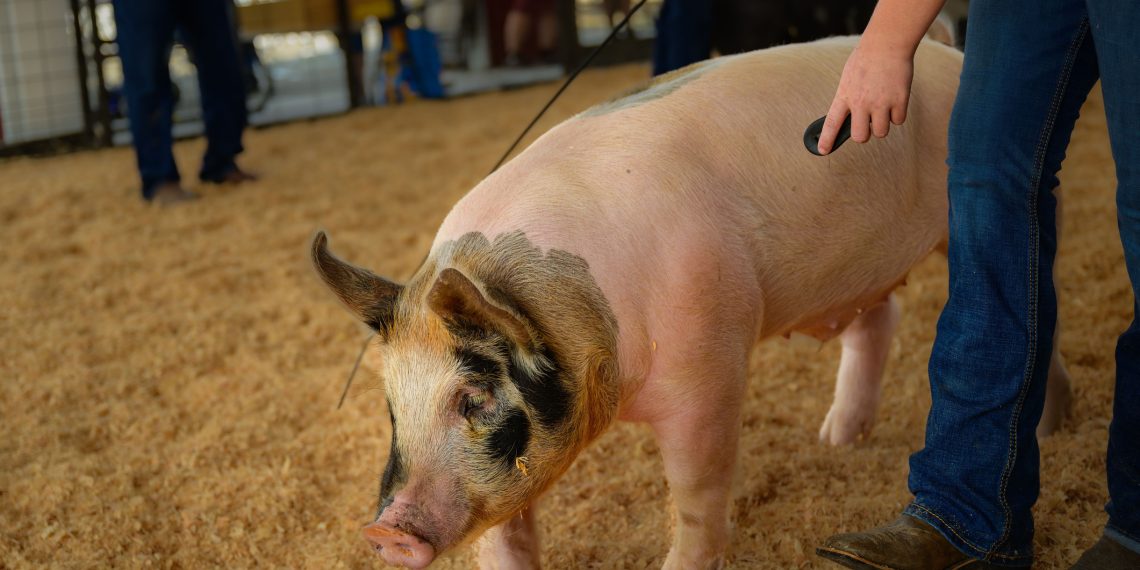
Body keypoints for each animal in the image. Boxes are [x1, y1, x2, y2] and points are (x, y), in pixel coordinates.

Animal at [311, 35, 1071, 569]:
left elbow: (698, 487)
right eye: (391, 408)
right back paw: (835, 438)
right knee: (877, 320)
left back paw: (1056, 428)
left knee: (1040, 310)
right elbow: (507, 531)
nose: (384, 530)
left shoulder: (709, 369)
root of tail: (945, 50)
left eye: (472, 398)